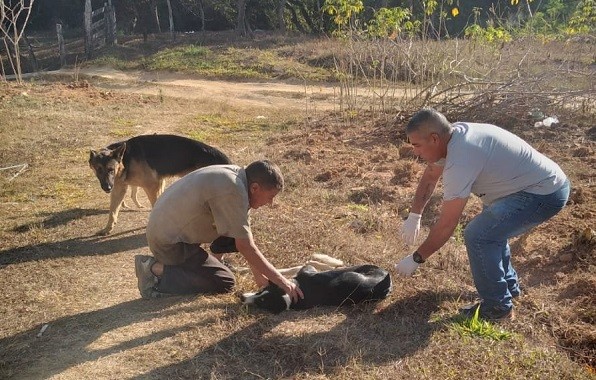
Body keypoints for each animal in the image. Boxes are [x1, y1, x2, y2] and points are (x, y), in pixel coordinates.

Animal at [89, 134, 232, 235]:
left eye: (111, 170)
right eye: (98, 169)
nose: (107, 187)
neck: (125, 159)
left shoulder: (153, 186)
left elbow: (155, 206)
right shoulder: (119, 190)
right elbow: (112, 211)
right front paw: (107, 229)